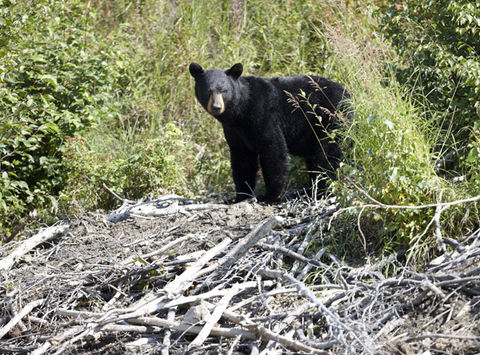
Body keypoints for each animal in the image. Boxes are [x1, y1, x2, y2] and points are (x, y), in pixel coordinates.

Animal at [189, 62, 350, 203]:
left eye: (223, 90)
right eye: (208, 91)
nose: (216, 107)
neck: (240, 111)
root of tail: (348, 94)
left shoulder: (264, 114)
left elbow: (273, 149)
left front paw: (269, 196)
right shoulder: (234, 131)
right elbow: (242, 160)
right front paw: (239, 196)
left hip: (330, 121)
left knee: (326, 156)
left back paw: (320, 191)